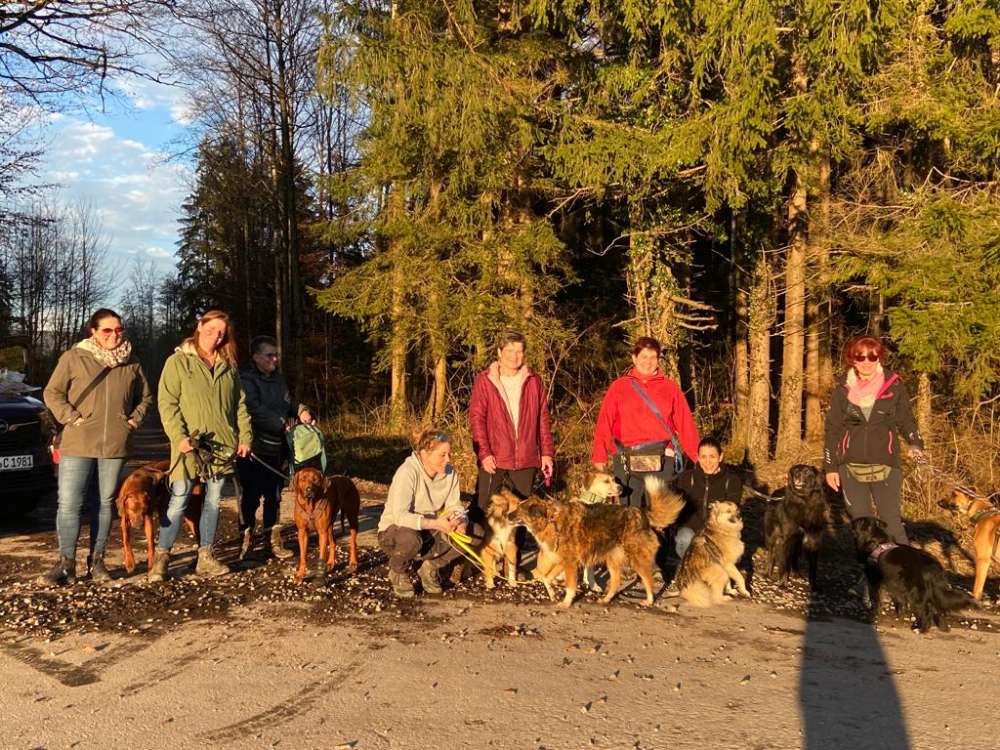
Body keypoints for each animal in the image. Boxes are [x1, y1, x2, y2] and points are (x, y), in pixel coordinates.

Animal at [512, 478, 684, 608]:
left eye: (520, 510)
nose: (508, 515)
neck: (551, 519)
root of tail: (641, 513)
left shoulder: (570, 563)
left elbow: (570, 586)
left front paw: (566, 602)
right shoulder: (564, 560)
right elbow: (546, 578)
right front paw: (553, 593)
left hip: (636, 558)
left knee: (647, 579)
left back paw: (649, 600)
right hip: (613, 560)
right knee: (615, 582)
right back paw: (606, 599)